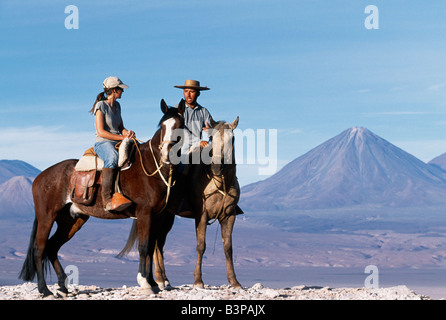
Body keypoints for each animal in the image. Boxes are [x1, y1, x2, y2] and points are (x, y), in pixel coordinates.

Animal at [18, 100, 185, 298]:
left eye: (180, 125)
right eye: (163, 126)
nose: (167, 153)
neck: (152, 167)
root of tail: (40, 177)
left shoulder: (157, 216)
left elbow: (151, 247)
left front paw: (153, 283)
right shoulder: (145, 213)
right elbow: (144, 247)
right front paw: (145, 283)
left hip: (71, 221)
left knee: (52, 247)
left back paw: (63, 287)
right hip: (47, 217)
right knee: (39, 248)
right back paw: (45, 290)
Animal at [120, 116, 242, 288]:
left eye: (232, 139)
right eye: (212, 138)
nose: (217, 167)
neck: (219, 183)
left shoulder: (229, 216)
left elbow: (228, 248)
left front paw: (234, 281)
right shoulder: (201, 216)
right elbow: (201, 246)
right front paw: (198, 281)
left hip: (165, 217)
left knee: (158, 244)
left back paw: (163, 279)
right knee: (157, 244)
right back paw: (160, 279)